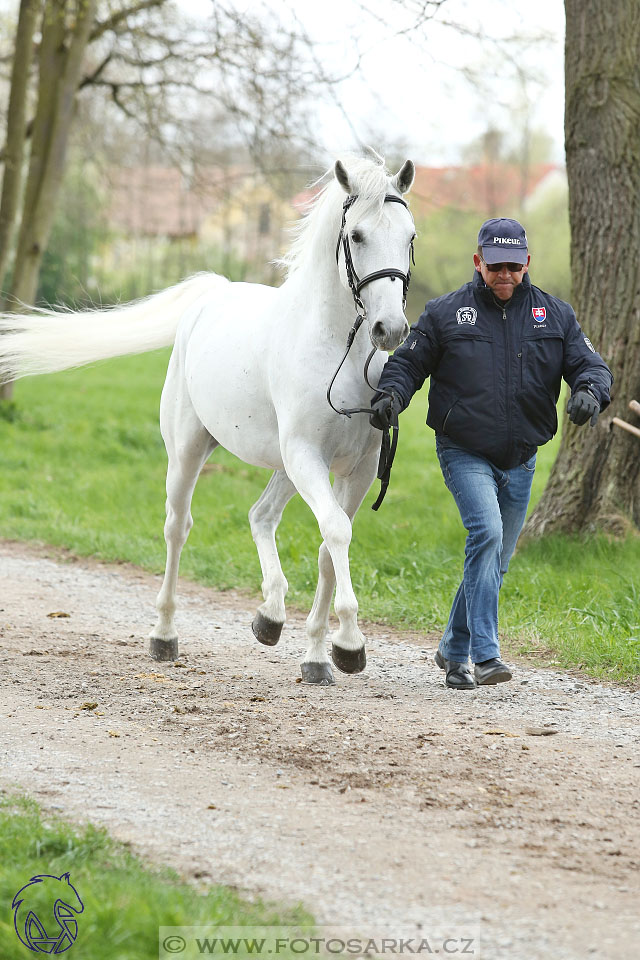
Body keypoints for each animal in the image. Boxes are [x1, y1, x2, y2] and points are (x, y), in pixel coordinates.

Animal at [0, 152, 416, 684]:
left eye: (409, 237)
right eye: (358, 235)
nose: (391, 329)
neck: (335, 348)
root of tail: (210, 296)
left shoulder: (356, 469)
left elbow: (330, 544)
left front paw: (325, 654)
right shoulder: (307, 457)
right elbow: (337, 533)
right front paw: (349, 641)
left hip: (283, 466)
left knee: (260, 516)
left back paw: (269, 617)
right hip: (191, 452)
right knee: (178, 527)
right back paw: (164, 636)